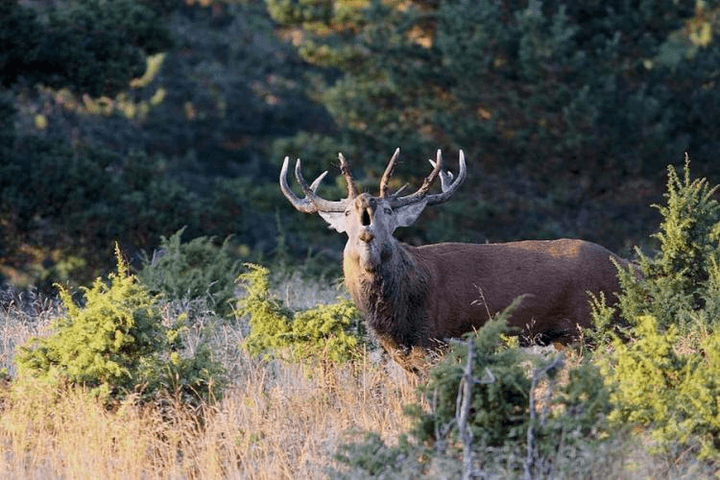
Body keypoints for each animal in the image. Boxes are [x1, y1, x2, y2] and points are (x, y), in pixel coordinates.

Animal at [279, 148, 623, 371]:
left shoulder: (437, 339)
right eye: (348, 213)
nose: (366, 218)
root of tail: (627, 267)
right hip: (569, 338)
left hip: (591, 326)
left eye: (388, 209)